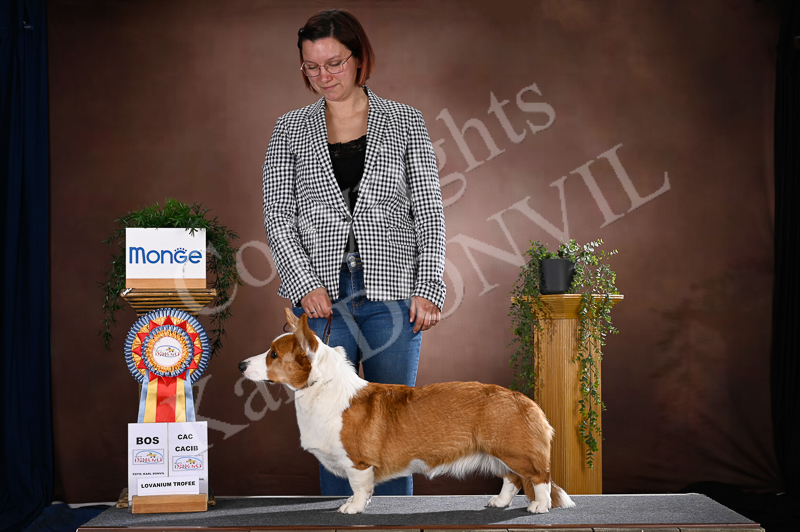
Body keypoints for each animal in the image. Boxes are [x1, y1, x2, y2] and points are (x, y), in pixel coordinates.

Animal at [238, 308, 575, 515]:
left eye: (273, 354)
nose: (241, 365)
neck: (322, 385)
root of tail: (526, 401)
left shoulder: (359, 463)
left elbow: (359, 487)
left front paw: (353, 507)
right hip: (498, 452)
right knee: (512, 479)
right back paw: (499, 502)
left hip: (514, 450)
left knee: (539, 477)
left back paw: (539, 506)